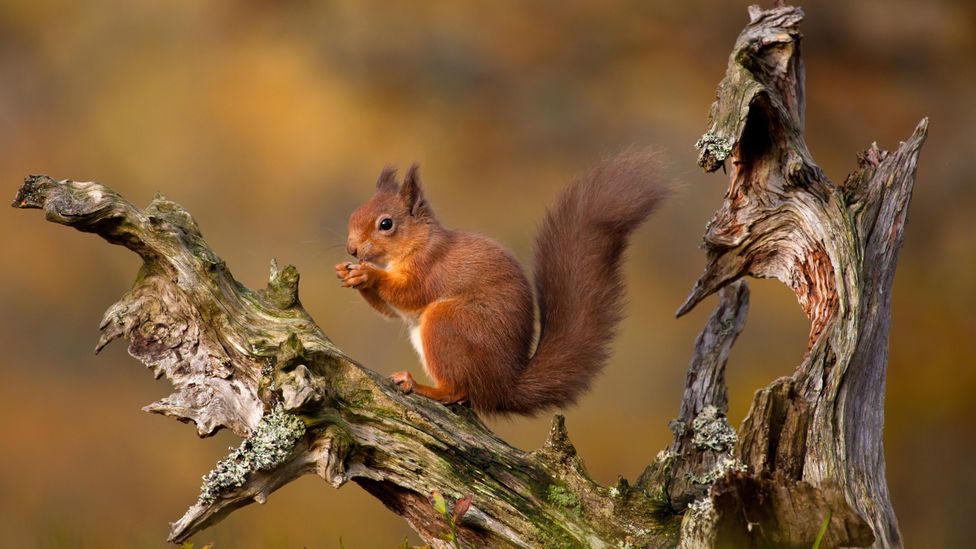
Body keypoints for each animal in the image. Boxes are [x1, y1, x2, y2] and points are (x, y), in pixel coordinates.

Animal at [338, 150, 672, 416]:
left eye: (386, 224)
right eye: (353, 214)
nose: (351, 249)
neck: (417, 244)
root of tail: (502, 386)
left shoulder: (431, 269)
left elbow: (409, 294)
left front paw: (368, 274)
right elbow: (391, 311)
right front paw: (349, 272)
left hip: (447, 323)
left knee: (457, 390)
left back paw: (420, 386)